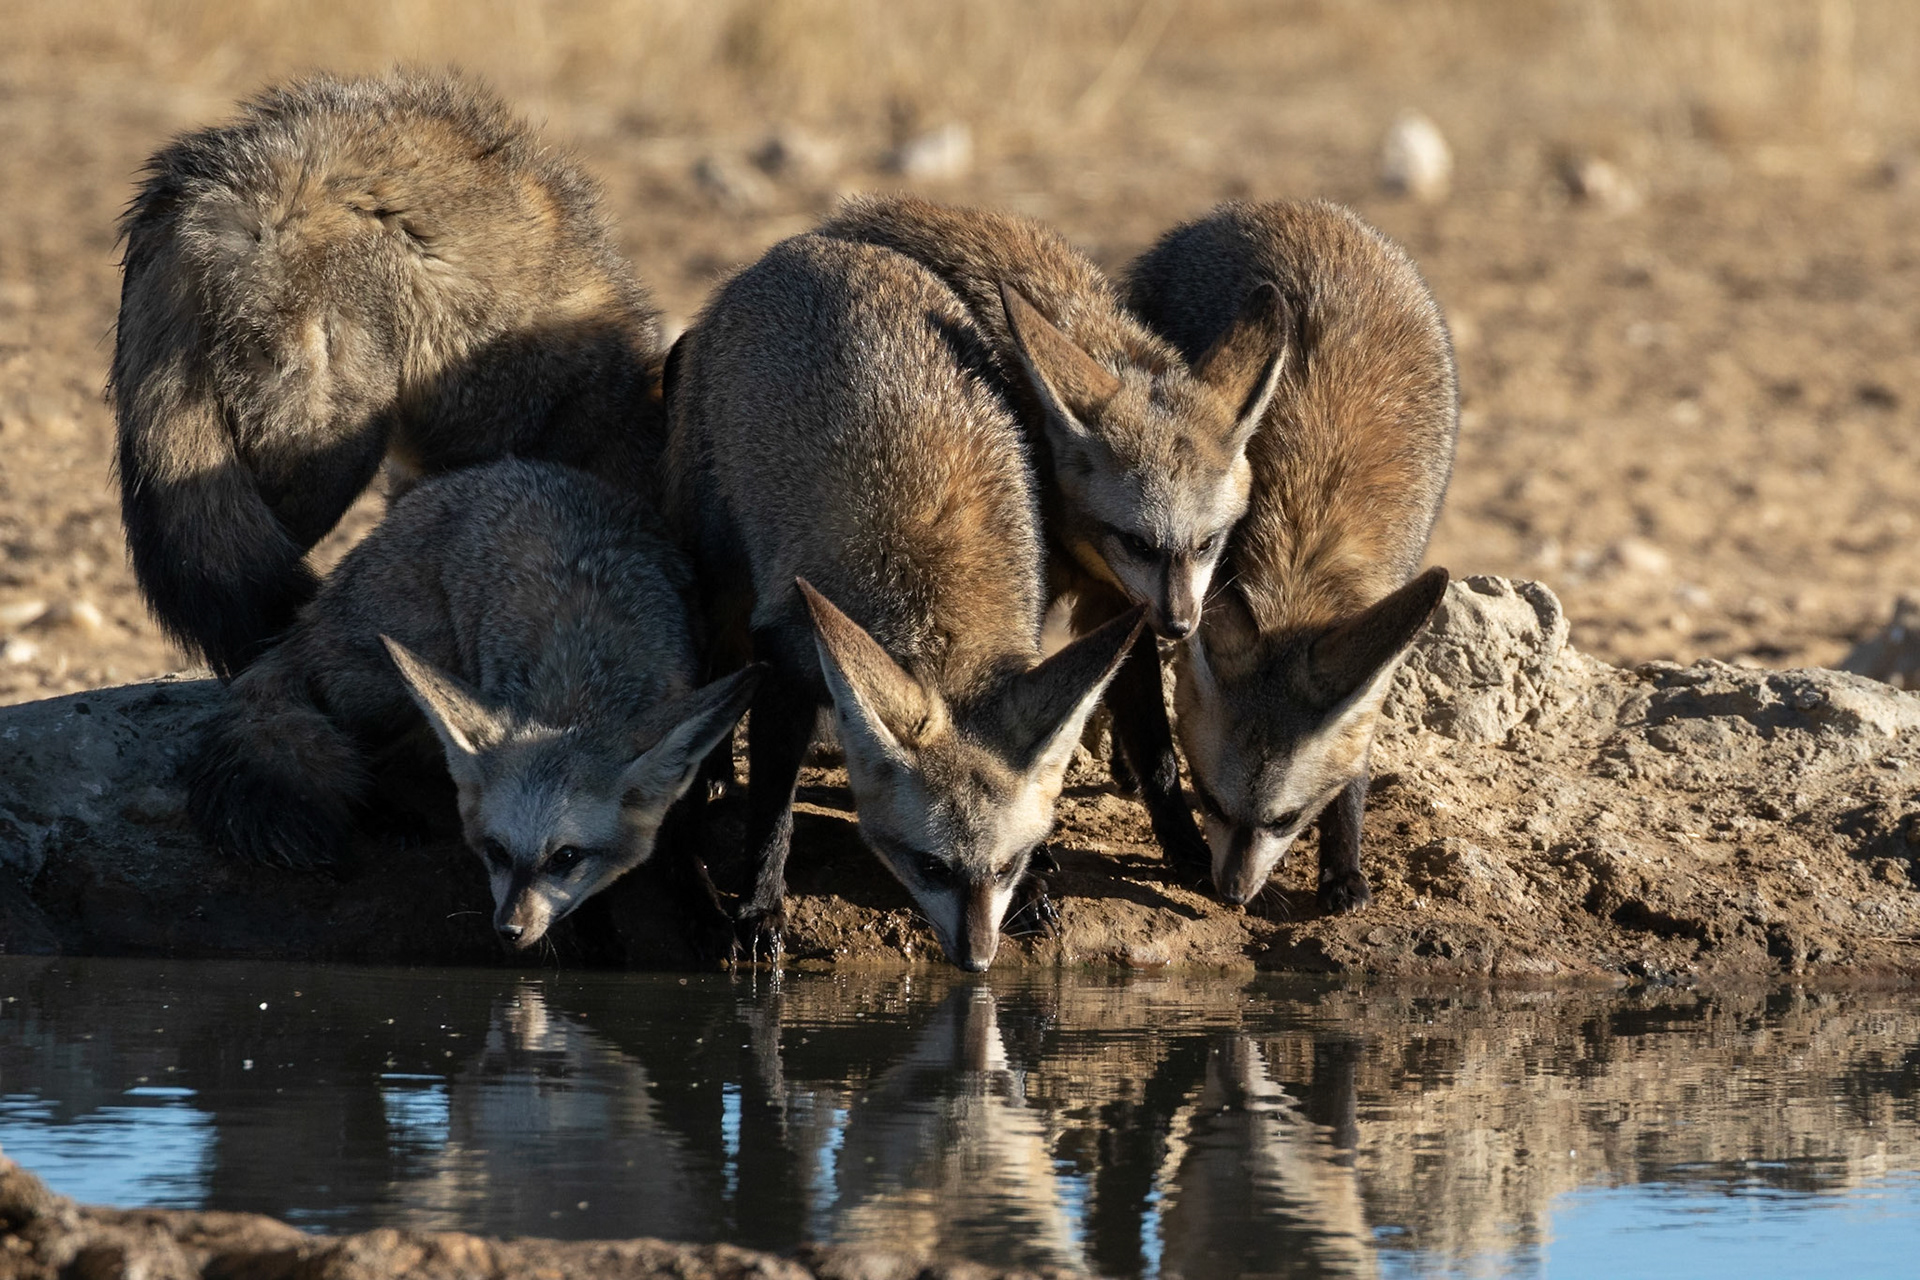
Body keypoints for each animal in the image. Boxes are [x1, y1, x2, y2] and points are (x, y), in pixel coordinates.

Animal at [186, 458, 760, 949]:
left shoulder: (679, 726)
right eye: (496, 852)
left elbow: (680, 842)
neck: (579, 686)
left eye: (566, 857)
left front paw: (704, 910)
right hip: (413, 668)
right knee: (344, 743)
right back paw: (385, 812)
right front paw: (596, 938)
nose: (508, 930)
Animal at [668, 231, 1145, 970]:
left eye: (1004, 867)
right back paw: (714, 774)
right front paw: (759, 907)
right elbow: (772, 814)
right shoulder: (792, 656)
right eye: (932, 868)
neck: (939, 608)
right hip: (720, 576)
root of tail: (805, 244)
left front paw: (1037, 885)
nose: (977, 961)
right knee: (718, 666)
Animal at [813, 194, 1289, 874]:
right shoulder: (1030, 598)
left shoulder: (1119, 603)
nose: (1180, 625)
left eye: (1207, 543)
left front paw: (1182, 842)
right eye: (1138, 542)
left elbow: (1156, 749)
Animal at [1125, 200, 1458, 912]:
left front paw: (1343, 864)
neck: (1300, 545)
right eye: (1210, 798)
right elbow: (1152, 731)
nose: (1230, 894)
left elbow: (1355, 756)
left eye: (1286, 820)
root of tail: (1287, 208)